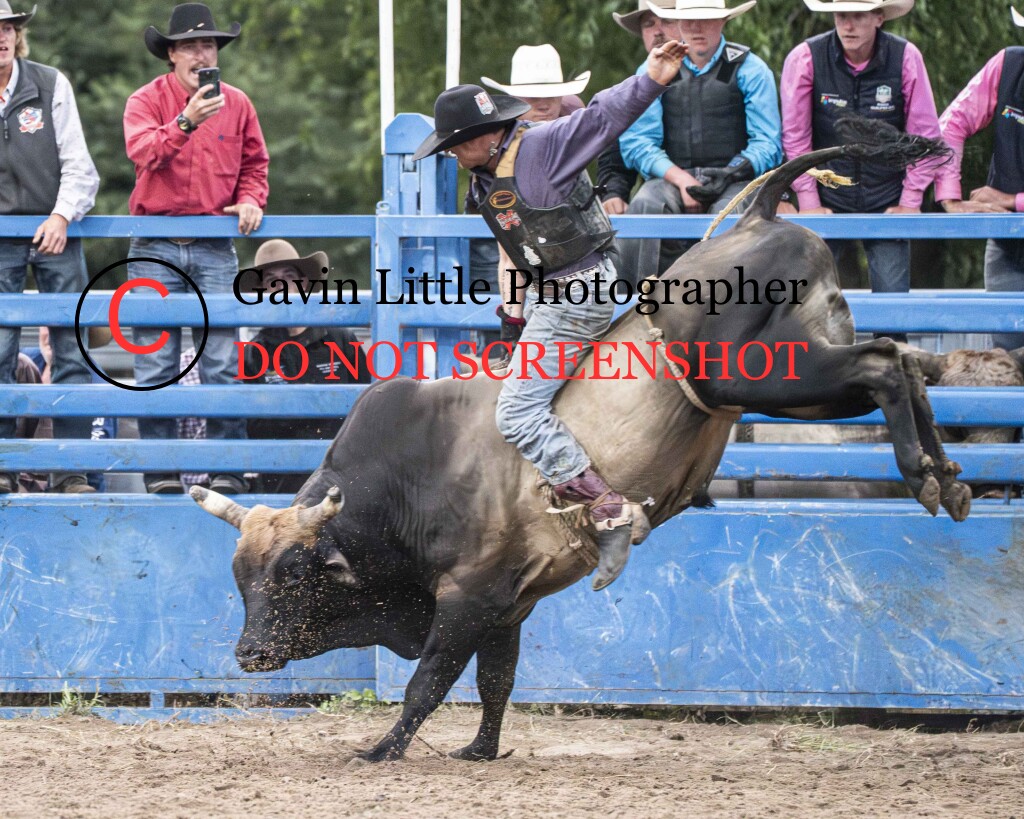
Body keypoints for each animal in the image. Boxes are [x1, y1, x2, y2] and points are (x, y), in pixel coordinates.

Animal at [192, 123, 971, 762]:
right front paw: (481, 751)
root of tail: (758, 214)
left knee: (885, 365)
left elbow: (429, 680)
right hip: (800, 376)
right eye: (238, 577)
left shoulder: (468, 595)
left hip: (761, 373)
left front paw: (381, 749)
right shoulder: (510, 604)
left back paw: (922, 472)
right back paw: (947, 475)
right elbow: (497, 681)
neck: (412, 481)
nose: (249, 652)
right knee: (899, 361)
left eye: (293, 573)